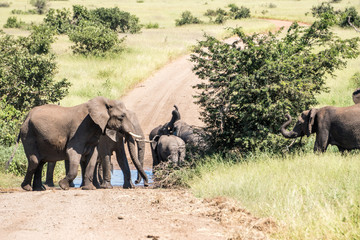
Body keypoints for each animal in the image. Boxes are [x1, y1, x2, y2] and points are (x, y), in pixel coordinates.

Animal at [11, 96, 146, 191]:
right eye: (121, 117)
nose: (138, 182)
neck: (105, 102)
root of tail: (27, 116)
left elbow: (95, 157)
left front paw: (88, 188)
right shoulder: (80, 130)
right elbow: (74, 152)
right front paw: (63, 185)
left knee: (40, 162)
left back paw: (39, 189)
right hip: (28, 133)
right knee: (35, 160)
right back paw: (27, 188)